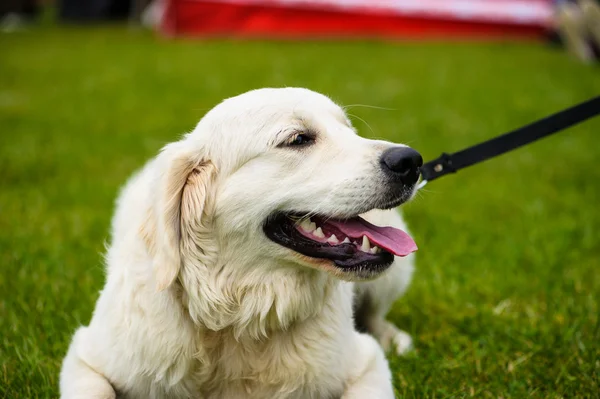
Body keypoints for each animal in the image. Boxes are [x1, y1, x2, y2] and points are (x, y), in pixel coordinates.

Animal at [59, 88, 422, 399]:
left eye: (349, 130)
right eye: (298, 139)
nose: (412, 161)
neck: (238, 317)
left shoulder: (367, 362)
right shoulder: (86, 358)